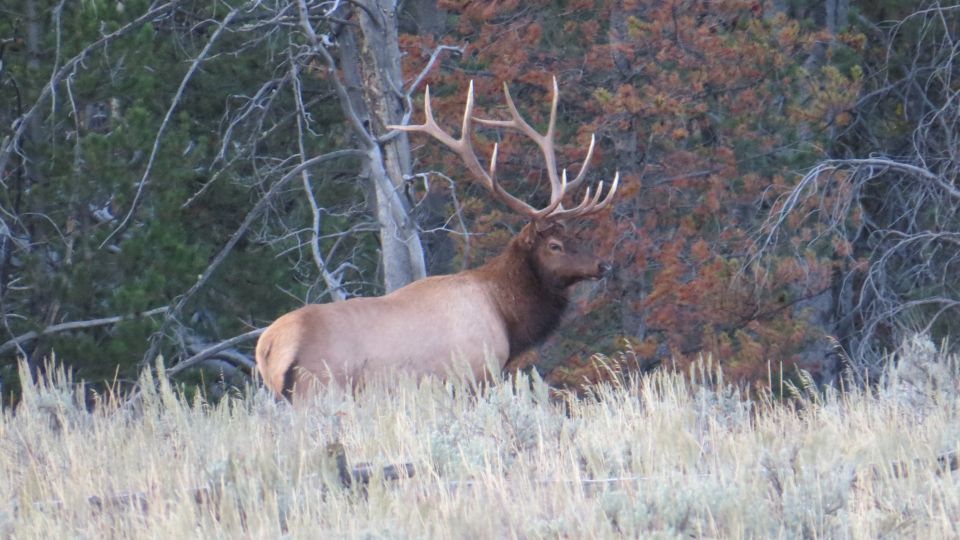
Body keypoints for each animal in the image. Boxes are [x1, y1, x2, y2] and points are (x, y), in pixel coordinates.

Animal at [255, 78, 620, 398]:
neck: (506, 316)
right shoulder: (476, 372)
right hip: (318, 388)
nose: (603, 265)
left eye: (575, 235)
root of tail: (267, 347)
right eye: (555, 246)